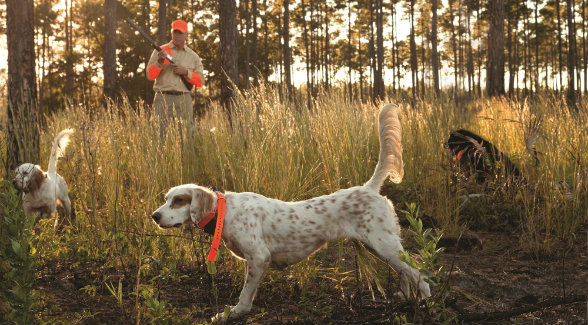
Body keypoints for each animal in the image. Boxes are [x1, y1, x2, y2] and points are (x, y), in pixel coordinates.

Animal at [152, 103, 432, 318]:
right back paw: (404, 297)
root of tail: (369, 187)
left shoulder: (259, 257)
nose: (154, 216)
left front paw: (233, 313)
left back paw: (428, 305)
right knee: (405, 272)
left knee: (420, 274)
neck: (225, 210)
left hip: (384, 244)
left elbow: (245, 295)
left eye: (178, 200)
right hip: (381, 247)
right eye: (166, 199)